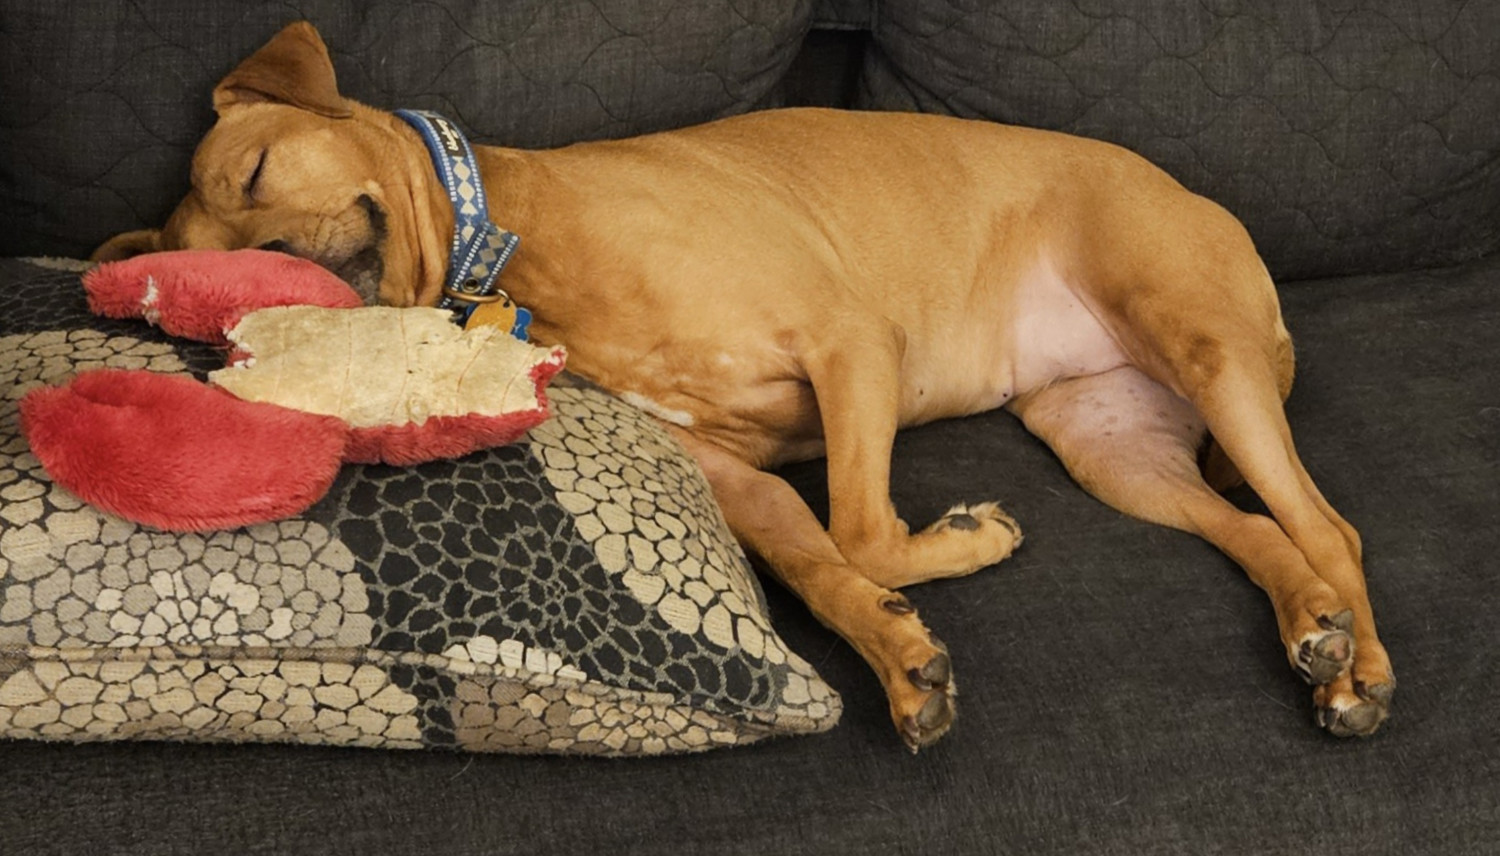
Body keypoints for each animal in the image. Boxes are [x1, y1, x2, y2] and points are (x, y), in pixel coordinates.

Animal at [96, 23, 1392, 749]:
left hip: (1201, 344)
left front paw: (961, 547)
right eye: (213, 263)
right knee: (1260, 533)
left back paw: (1362, 670)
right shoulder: (744, 481)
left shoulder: (852, 349)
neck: (521, 244)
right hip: (1112, 443)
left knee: (1331, 525)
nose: (284, 283)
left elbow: (863, 529)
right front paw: (898, 655)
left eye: (257, 168)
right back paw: (1314, 633)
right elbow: (825, 567)